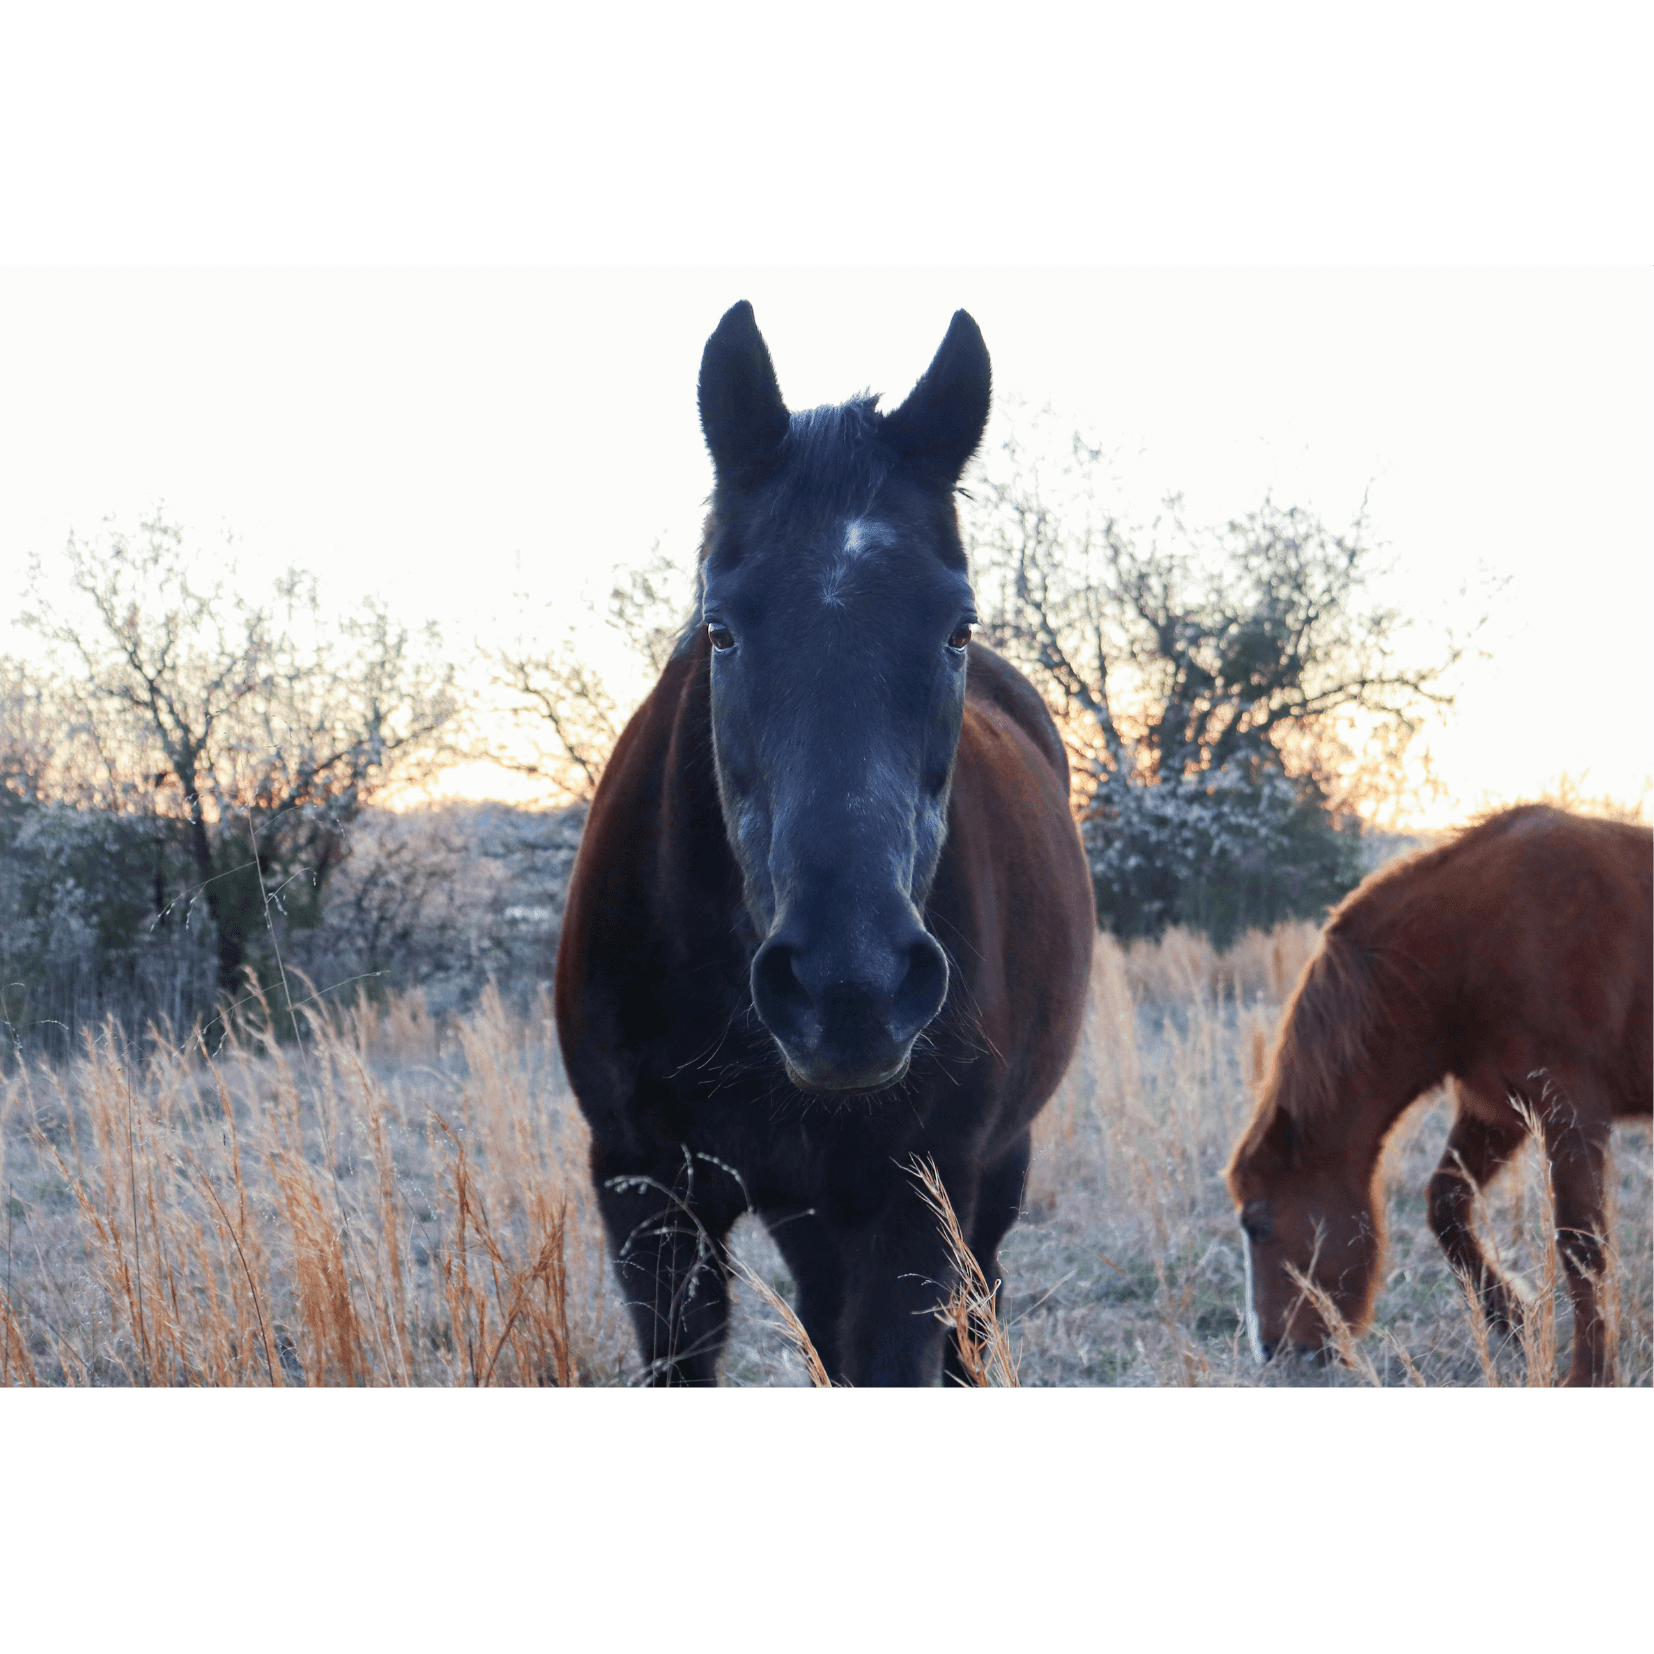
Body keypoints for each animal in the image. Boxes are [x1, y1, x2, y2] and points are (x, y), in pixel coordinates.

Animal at [555, 302, 1095, 1386]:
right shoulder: (645, 1199)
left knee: (977, 1312)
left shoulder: (915, 1202)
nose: (853, 988)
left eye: (956, 628)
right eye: (720, 628)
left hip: (986, 1175)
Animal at [1226, 805, 1652, 1386]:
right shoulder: (1498, 1111)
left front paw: (1589, 1373)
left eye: (1260, 1224)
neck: (1473, 948)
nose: (1274, 1351)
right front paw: (1516, 1320)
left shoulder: (1572, 1115)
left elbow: (1581, 1245)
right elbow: (1446, 1206)